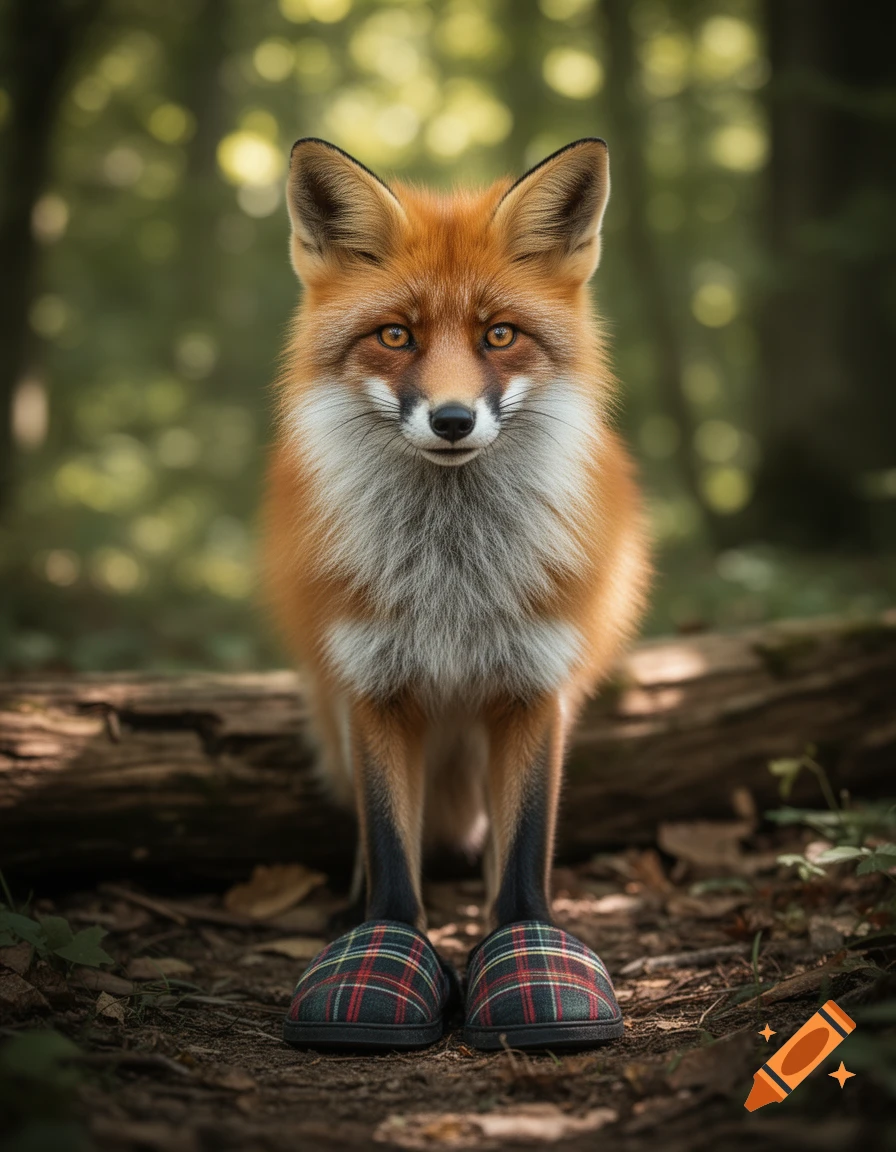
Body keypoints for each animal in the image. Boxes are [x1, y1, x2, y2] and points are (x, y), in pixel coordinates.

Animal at [263, 136, 650, 940]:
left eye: (498, 334)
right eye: (396, 334)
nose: (451, 420)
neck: (452, 580)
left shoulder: (535, 682)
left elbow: (526, 843)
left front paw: (523, 938)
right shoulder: (373, 682)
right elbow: (387, 841)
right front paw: (383, 937)